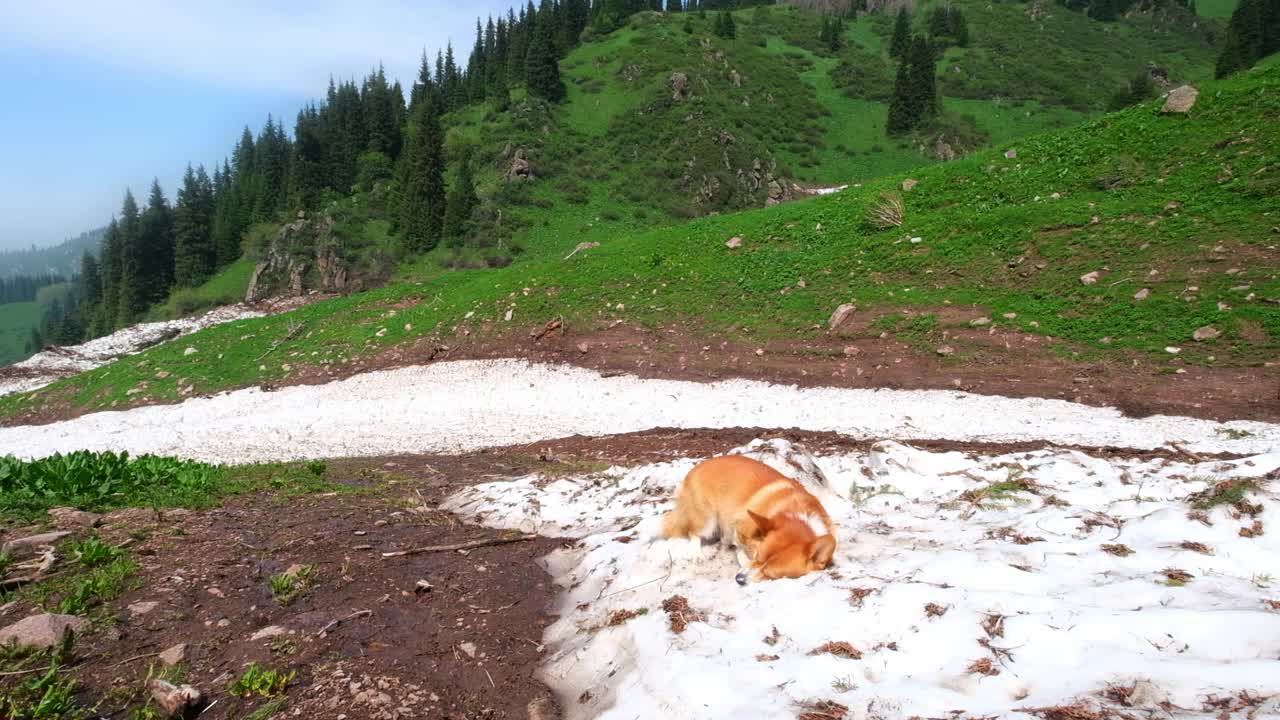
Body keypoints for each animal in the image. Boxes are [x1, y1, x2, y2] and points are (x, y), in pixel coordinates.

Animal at [660, 453, 839, 584]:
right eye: (757, 557)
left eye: (771, 573)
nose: (739, 579)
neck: (799, 516)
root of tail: (695, 469)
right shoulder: (739, 529)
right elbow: (741, 548)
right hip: (707, 519)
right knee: (693, 532)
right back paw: (697, 553)